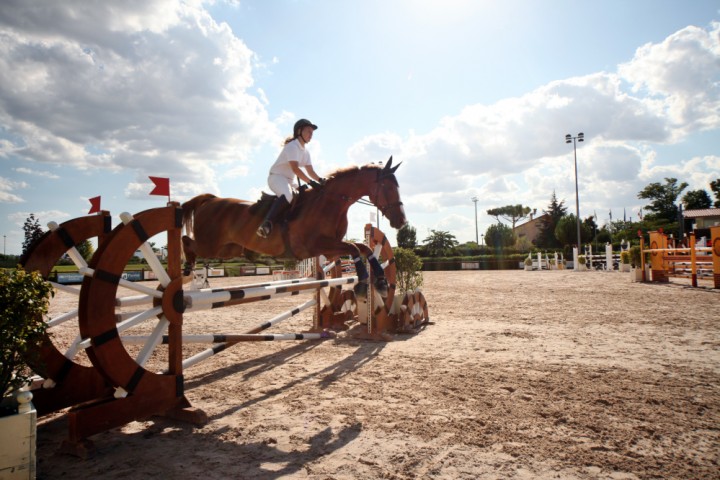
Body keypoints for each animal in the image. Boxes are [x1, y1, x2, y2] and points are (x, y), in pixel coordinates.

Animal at [180, 158, 404, 296]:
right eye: (388, 187)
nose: (401, 220)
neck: (330, 203)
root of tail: (211, 200)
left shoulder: (331, 247)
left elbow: (364, 247)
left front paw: (381, 281)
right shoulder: (317, 245)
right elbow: (355, 248)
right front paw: (364, 282)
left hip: (228, 249)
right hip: (210, 245)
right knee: (187, 242)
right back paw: (187, 269)